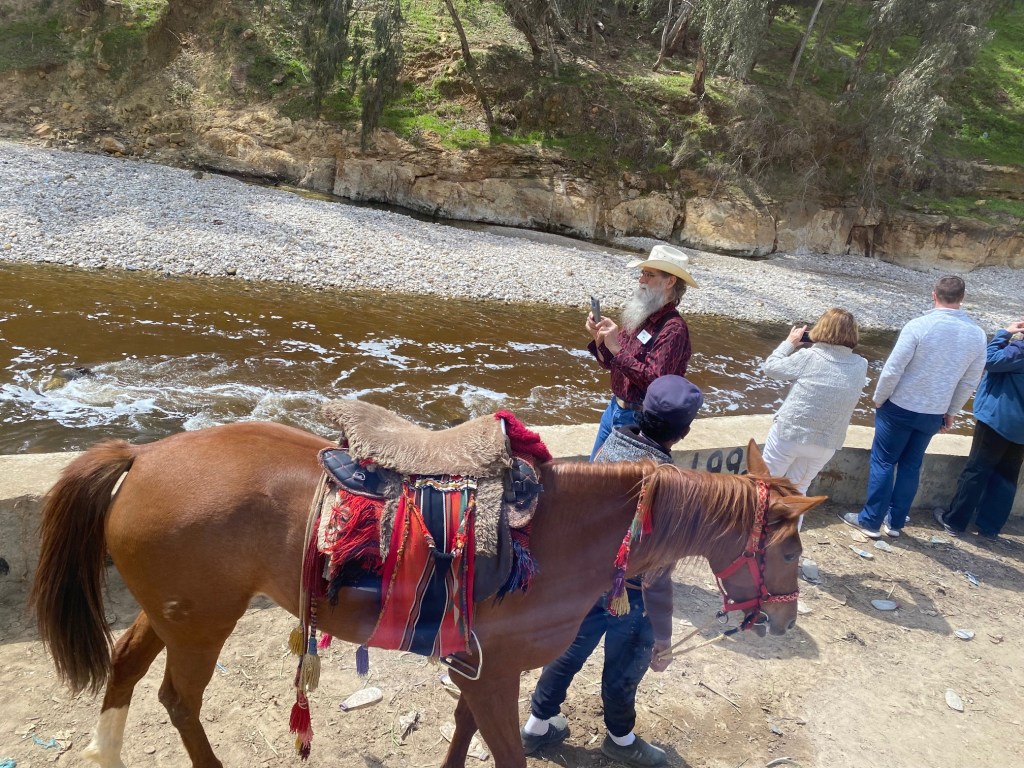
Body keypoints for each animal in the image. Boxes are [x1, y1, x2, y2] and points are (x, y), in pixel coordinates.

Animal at [30, 420, 824, 768]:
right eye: (790, 549)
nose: (781, 622)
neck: (563, 532)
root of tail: (143, 455)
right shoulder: (496, 672)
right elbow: (504, 752)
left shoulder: (478, 667)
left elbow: (467, 733)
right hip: (201, 623)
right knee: (177, 699)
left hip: (175, 611)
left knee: (126, 668)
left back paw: (106, 752)